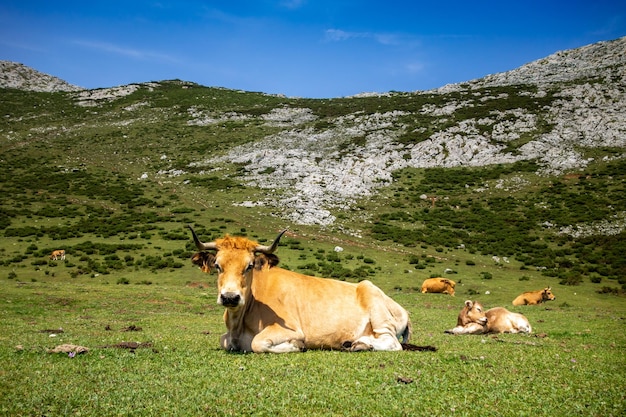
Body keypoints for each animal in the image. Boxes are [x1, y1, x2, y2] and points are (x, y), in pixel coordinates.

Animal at [190, 226, 414, 352]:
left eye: (250, 266)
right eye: (217, 265)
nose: (230, 297)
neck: (238, 324)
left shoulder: (291, 329)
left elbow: (258, 343)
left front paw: (295, 346)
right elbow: (223, 340)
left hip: (377, 307)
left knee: (392, 343)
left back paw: (361, 344)